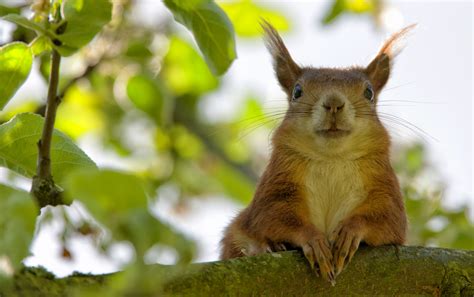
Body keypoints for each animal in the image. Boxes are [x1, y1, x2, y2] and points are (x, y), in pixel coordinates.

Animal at [218, 20, 414, 282]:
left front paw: (350, 232)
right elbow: (272, 216)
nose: (334, 103)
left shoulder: (384, 187)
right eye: (297, 91)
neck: (332, 158)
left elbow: (389, 220)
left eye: (369, 92)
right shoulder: (276, 185)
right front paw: (313, 241)